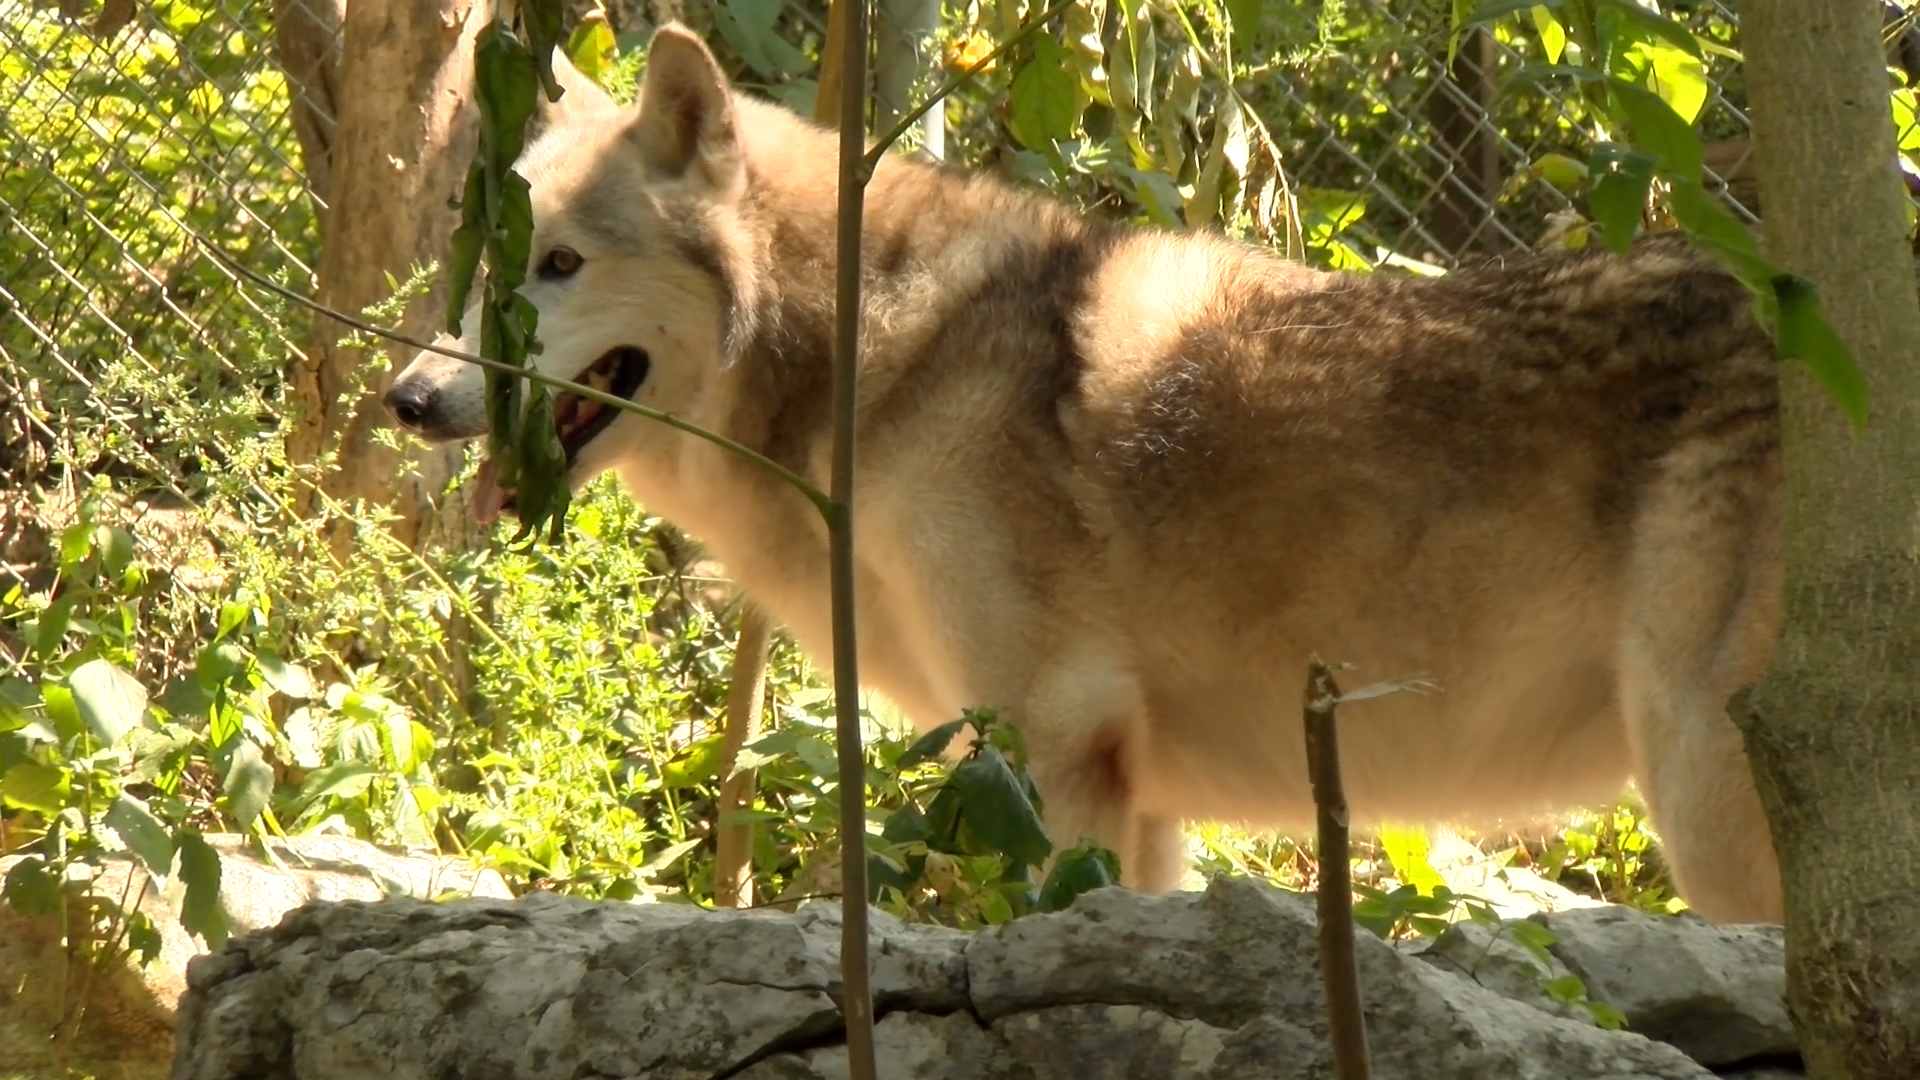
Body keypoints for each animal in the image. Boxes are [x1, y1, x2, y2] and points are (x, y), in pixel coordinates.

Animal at [383, 24, 1786, 923]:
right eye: (490, 268)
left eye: (561, 266)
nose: (409, 401)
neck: (884, 362)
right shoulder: (1142, 807)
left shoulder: (1053, 754)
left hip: (1708, 810)